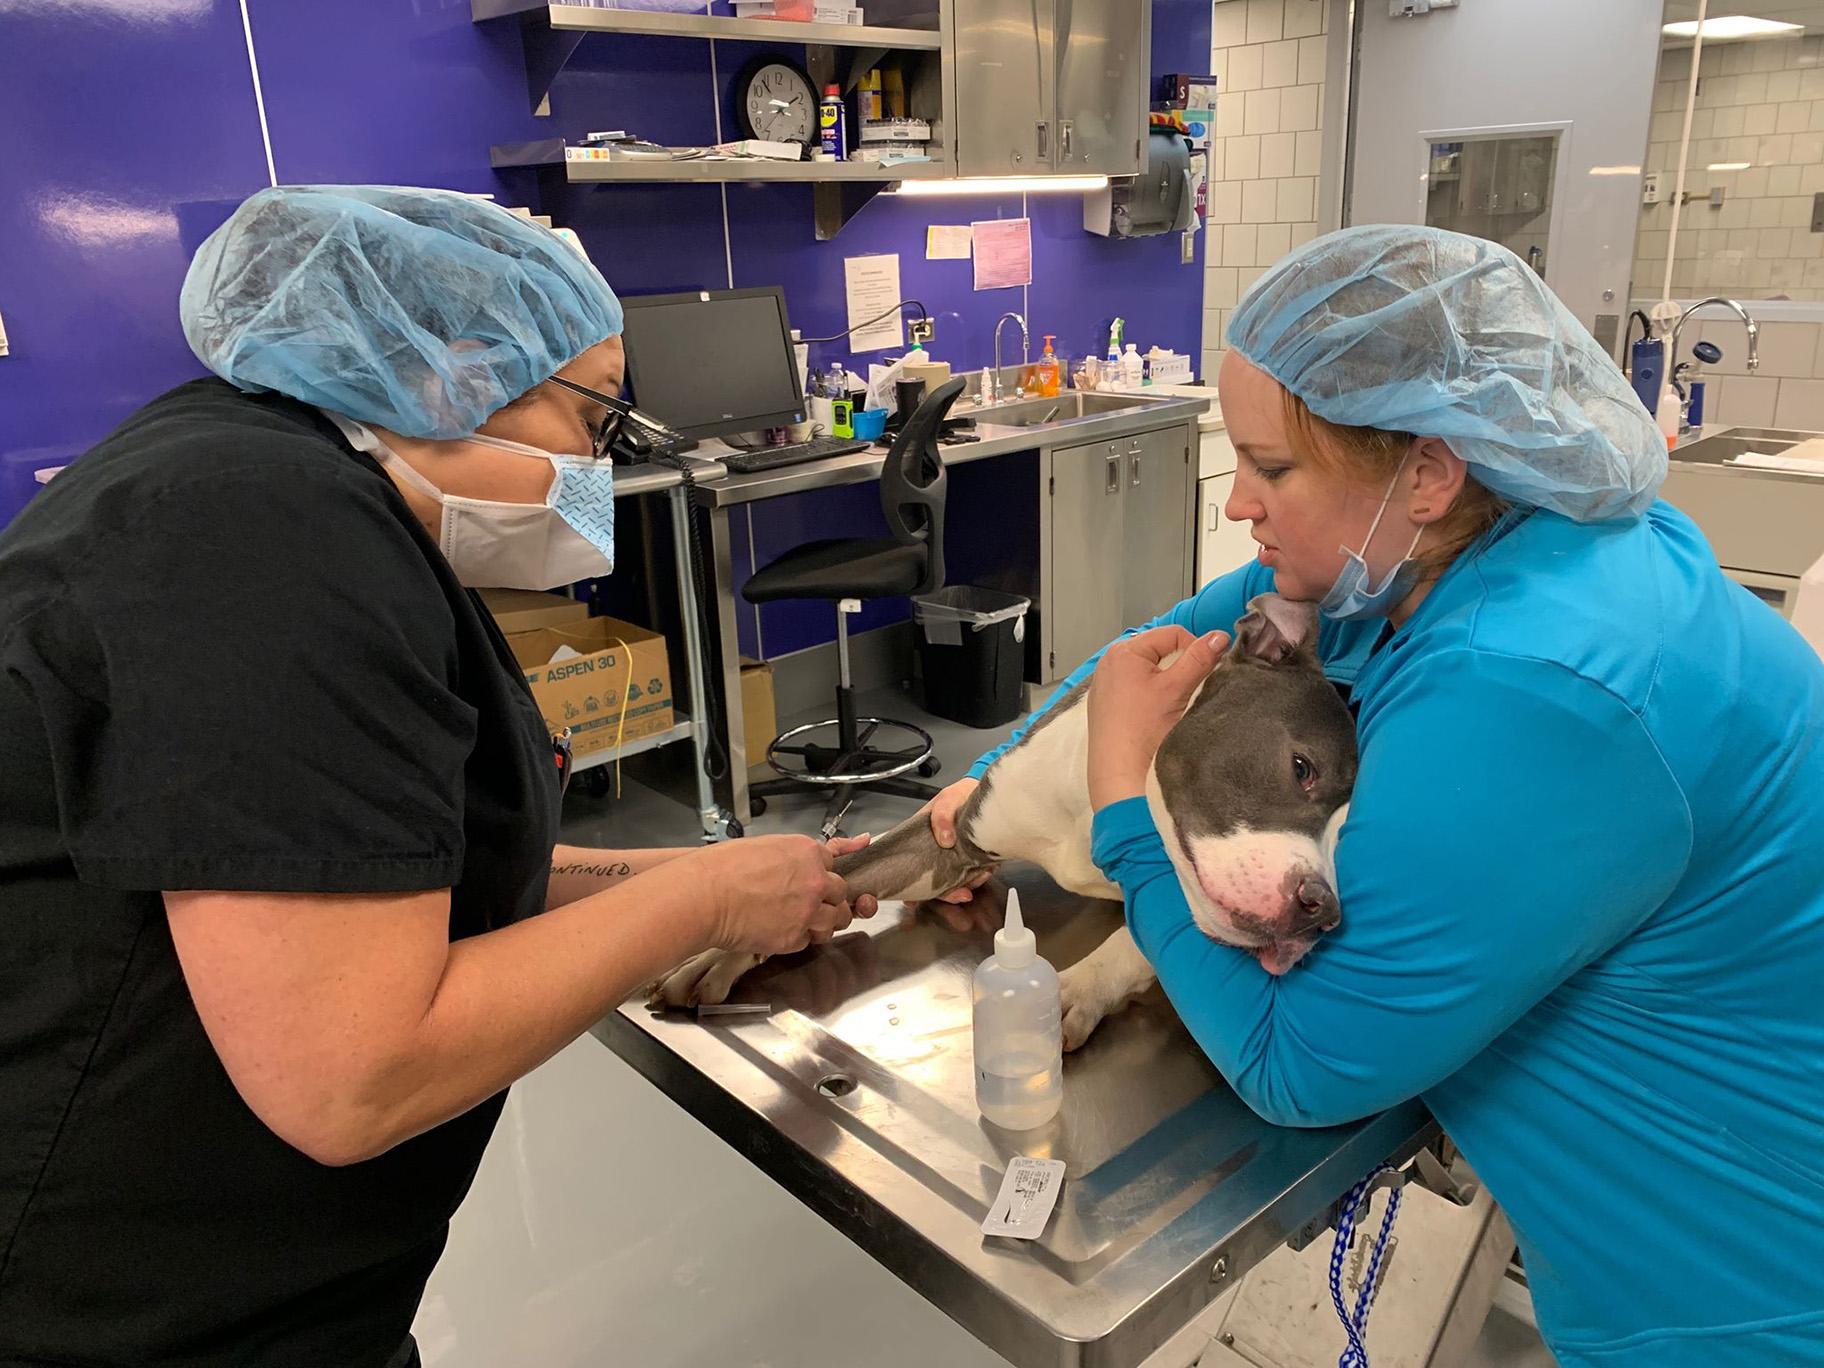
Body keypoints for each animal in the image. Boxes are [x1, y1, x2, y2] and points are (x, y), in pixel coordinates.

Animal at [652, 594, 1357, 1057]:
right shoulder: (953, 842)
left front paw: (1074, 989)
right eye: (1302, 769)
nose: (1323, 912)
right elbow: (844, 871)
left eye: (1349, 835)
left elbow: (1140, 938)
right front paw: (724, 946)